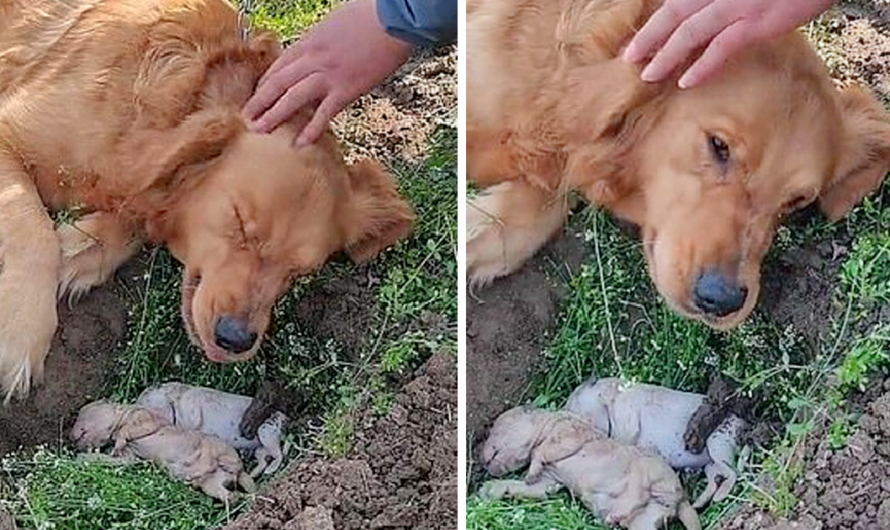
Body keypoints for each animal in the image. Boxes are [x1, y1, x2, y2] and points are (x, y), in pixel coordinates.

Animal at [0, 0, 414, 398]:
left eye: (299, 272)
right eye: (239, 222)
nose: (236, 339)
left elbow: (132, 217)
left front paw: (80, 248)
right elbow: (35, 231)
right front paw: (21, 334)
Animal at [71, 398, 255, 502]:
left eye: (82, 414)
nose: (70, 437)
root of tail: (239, 470)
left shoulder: (144, 417)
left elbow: (130, 429)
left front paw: (117, 443)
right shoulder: (130, 455)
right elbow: (123, 460)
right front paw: (85, 457)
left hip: (216, 447)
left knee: (209, 459)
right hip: (212, 483)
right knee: (227, 494)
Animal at [136, 380, 288, 474]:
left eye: (146, 402)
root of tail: (284, 418)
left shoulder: (192, 411)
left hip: (266, 432)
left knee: (279, 454)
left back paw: (269, 470)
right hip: (261, 447)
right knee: (264, 458)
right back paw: (253, 472)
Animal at [564, 376, 744, 508]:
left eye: (575, 401)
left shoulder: (627, 422)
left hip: (718, 444)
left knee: (733, 472)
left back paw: (719, 498)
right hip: (710, 463)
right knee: (716, 478)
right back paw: (699, 504)